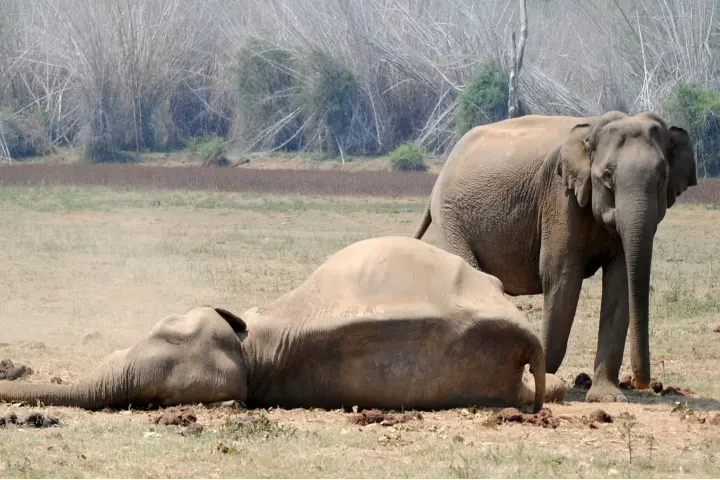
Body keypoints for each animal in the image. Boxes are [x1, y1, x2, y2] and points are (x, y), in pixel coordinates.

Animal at [414, 111, 700, 402]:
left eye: (663, 176)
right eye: (607, 176)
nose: (643, 384)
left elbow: (619, 283)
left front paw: (607, 397)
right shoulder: (559, 196)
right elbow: (562, 275)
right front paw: (540, 381)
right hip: (451, 216)